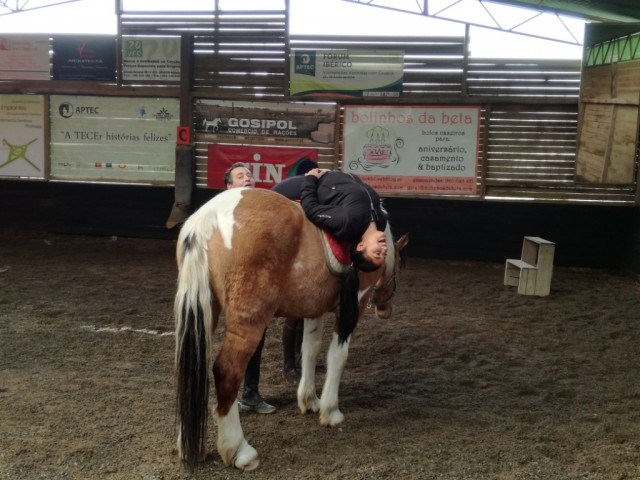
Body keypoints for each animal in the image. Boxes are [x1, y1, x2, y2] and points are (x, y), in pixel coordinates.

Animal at [174, 187, 408, 472]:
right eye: (399, 265)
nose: (385, 309)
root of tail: (207, 217)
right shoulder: (354, 304)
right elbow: (337, 356)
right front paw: (331, 411)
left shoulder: (314, 309)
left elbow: (310, 350)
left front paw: (309, 400)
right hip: (248, 321)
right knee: (227, 371)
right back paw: (239, 450)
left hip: (203, 314)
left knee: (191, 365)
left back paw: (190, 446)